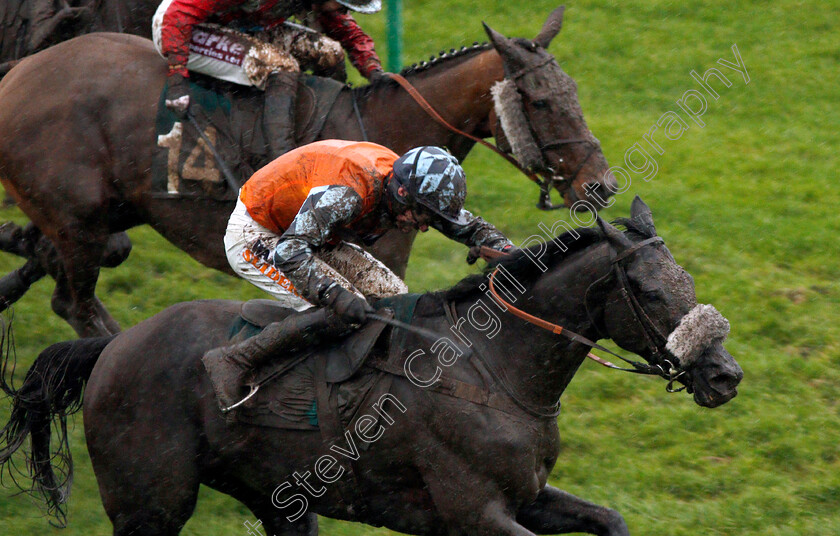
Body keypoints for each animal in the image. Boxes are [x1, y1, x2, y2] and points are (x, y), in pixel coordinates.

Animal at [0, 6, 612, 338]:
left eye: (574, 91)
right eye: (540, 101)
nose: (600, 185)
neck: (387, 128)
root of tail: (17, 73)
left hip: (105, 211)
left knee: (64, 264)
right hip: (78, 221)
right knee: (76, 302)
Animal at [0, 199, 740, 532]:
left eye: (686, 281)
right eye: (649, 292)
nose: (725, 375)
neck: (497, 371)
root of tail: (113, 348)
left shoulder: (527, 495)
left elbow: (610, 519)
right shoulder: (477, 511)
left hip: (279, 501)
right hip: (150, 504)